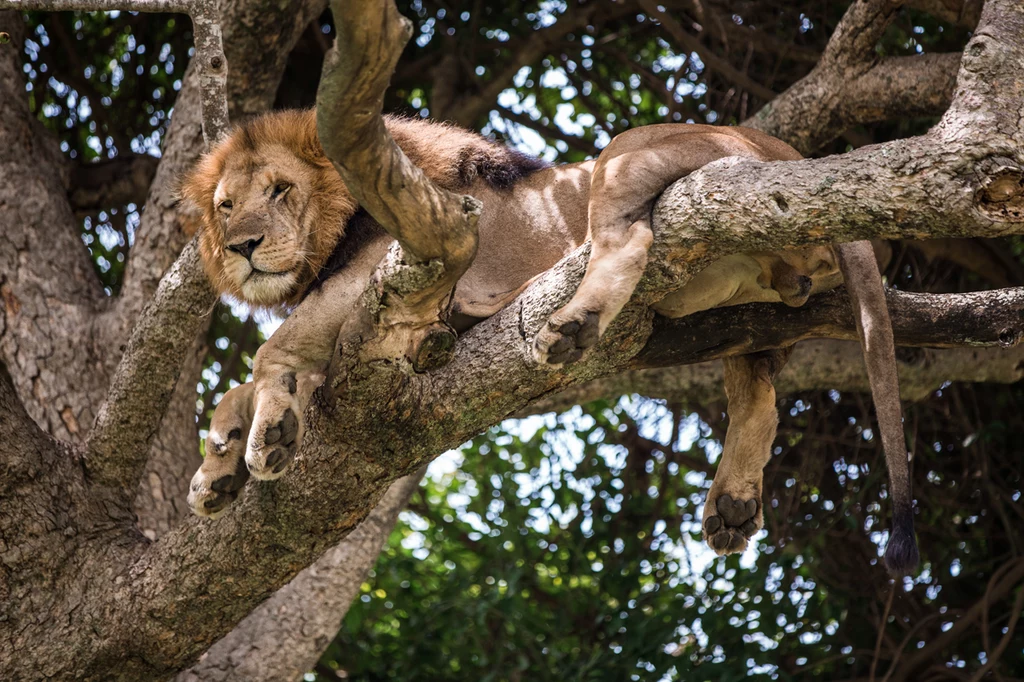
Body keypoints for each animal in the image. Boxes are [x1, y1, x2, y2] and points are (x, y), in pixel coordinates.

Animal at [178, 109, 921, 569]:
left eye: (280, 191)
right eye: (225, 206)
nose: (242, 247)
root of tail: (795, 154)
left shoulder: (382, 269)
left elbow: (267, 354)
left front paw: (268, 436)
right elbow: (242, 386)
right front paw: (218, 467)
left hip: (628, 155)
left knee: (627, 242)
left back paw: (567, 322)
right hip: (744, 305)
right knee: (758, 386)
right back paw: (733, 505)